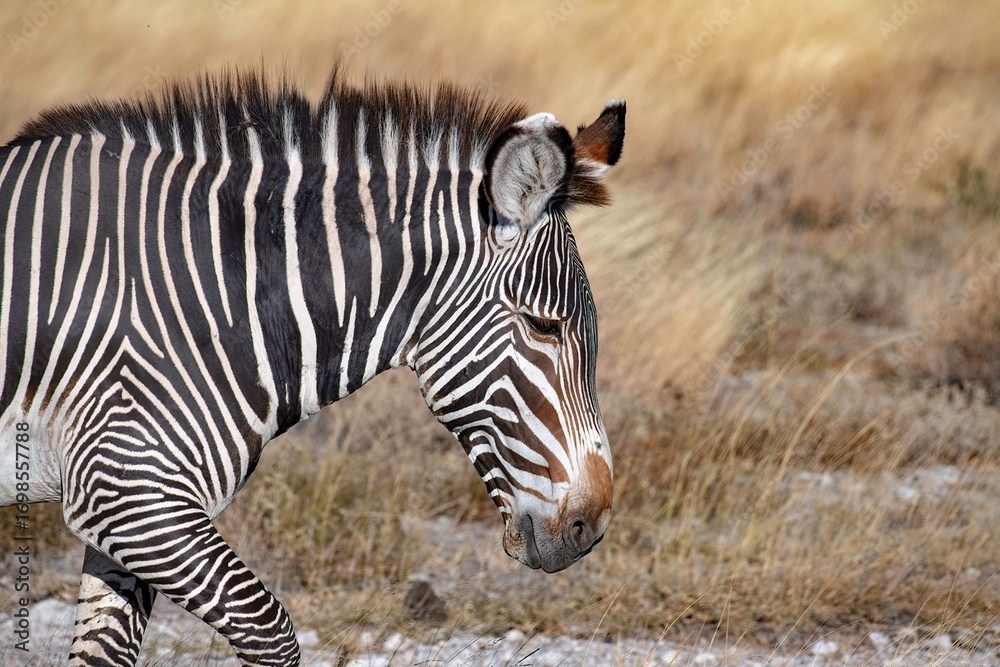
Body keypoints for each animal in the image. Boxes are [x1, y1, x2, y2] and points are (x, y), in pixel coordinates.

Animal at [0, 68, 625, 666]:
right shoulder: (128, 489)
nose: (589, 530)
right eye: (544, 326)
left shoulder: (120, 507)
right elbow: (270, 630)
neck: (216, 292)